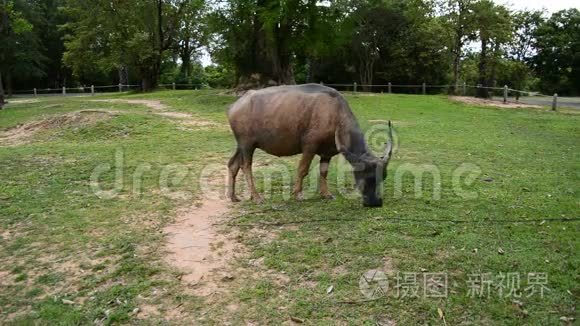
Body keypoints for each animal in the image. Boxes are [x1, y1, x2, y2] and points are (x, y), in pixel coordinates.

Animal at [227, 83, 394, 206]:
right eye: (368, 176)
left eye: (383, 177)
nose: (376, 202)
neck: (335, 114)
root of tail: (234, 107)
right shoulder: (309, 147)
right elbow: (302, 169)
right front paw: (297, 194)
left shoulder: (327, 152)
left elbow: (323, 172)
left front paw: (326, 194)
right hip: (247, 144)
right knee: (245, 166)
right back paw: (256, 197)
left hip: (241, 145)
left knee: (233, 164)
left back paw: (233, 196)